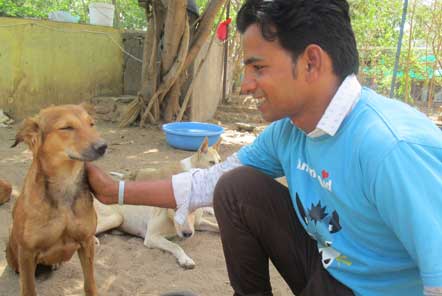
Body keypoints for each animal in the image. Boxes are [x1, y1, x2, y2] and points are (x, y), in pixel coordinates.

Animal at [6, 104, 105, 296]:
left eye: (91, 124)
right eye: (66, 127)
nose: (103, 146)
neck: (64, 185)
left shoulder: (87, 241)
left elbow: (90, 284)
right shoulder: (27, 252)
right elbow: (28, 289)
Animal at [95, 138, 223, 270]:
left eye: (219, 161)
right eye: (211, 162)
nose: (187, 234)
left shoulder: (198, 223)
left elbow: (215, 225)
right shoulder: (152, 237)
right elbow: (175, 246)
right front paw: (185, 259)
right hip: (115, 217)